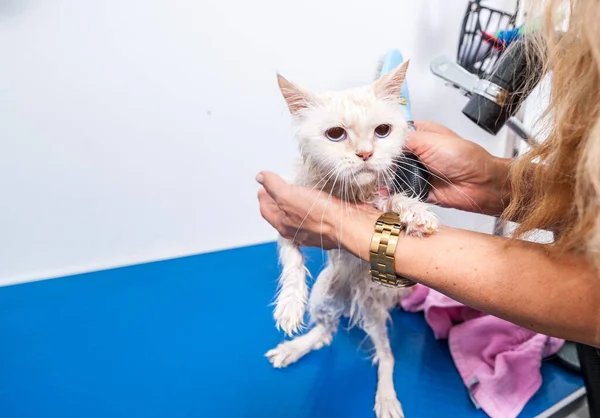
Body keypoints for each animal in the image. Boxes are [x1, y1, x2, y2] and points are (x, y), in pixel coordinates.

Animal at [268, 62, 436, 418]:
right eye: (335, 134)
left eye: (382, 131)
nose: (366, 153)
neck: (351, 192)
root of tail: (349, 301)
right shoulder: (285, 225)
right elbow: (292, 261)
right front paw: (289, 305)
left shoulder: (379, 198)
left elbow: (392, 202)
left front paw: (416, 212)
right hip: (322, 297)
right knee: (325, 334)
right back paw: (295, 347)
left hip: (373, 311)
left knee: (386, 356)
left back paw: (386, 397)